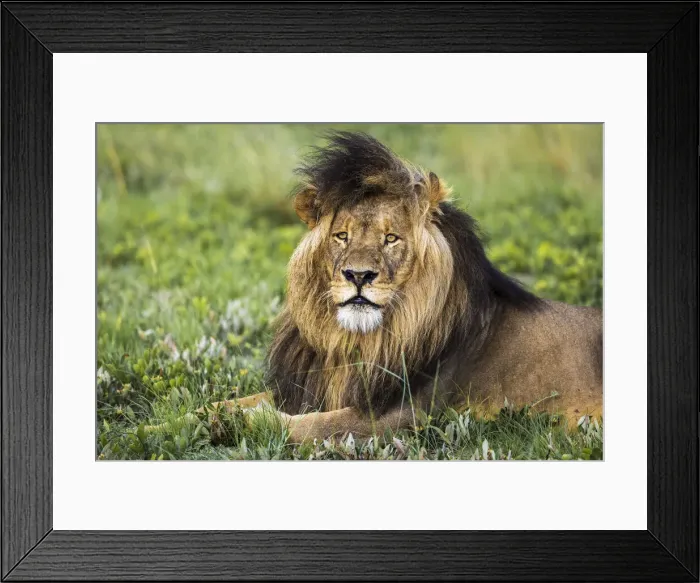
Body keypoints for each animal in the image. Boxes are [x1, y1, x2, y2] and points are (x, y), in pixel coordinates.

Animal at [207, 131, 602, 444]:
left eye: (391, 238)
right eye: (342, 235)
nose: (358, 275)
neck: (357, 343)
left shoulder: (404, 416)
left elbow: (309, 425)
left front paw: (247, 422)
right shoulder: (306, 388)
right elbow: (240, 400)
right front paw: (205, 415)